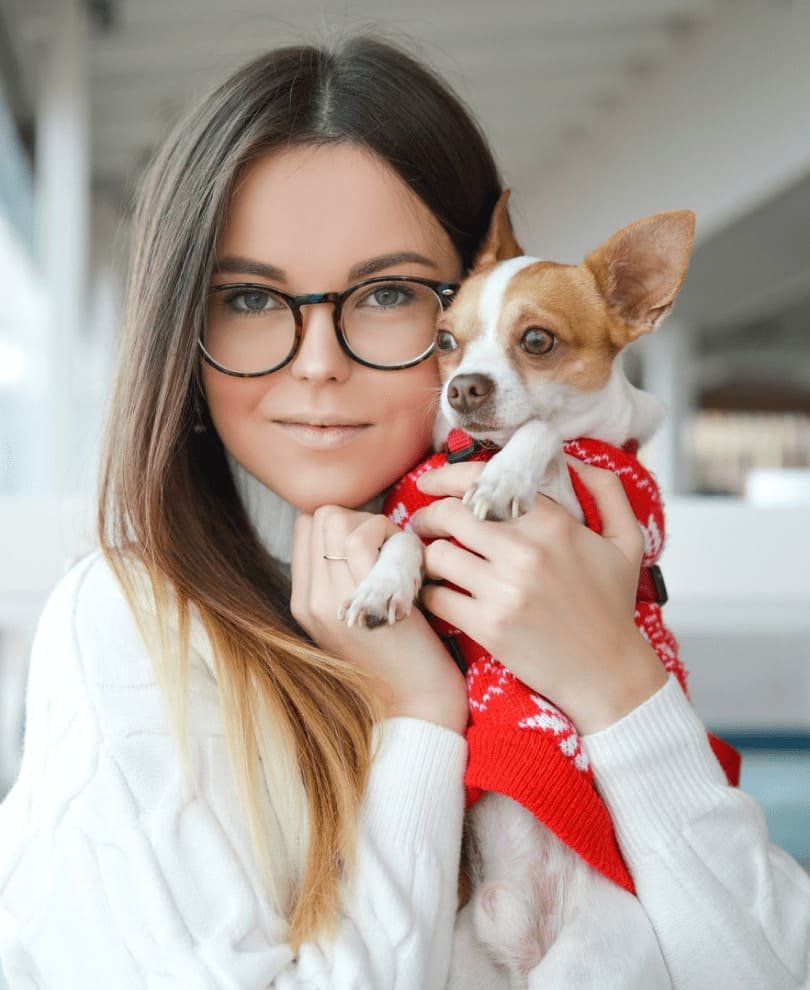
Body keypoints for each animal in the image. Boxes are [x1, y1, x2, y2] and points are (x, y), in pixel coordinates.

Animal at [338, 192, 695, 986]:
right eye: (444, 341)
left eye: (537, 340)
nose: (461, 387)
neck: (473, 452)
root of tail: (523, 945)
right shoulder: (432, 531)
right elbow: (409, 535)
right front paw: (381, 585)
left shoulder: (583, 500)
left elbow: (544, 435)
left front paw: (504, 478)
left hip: (592, 963)